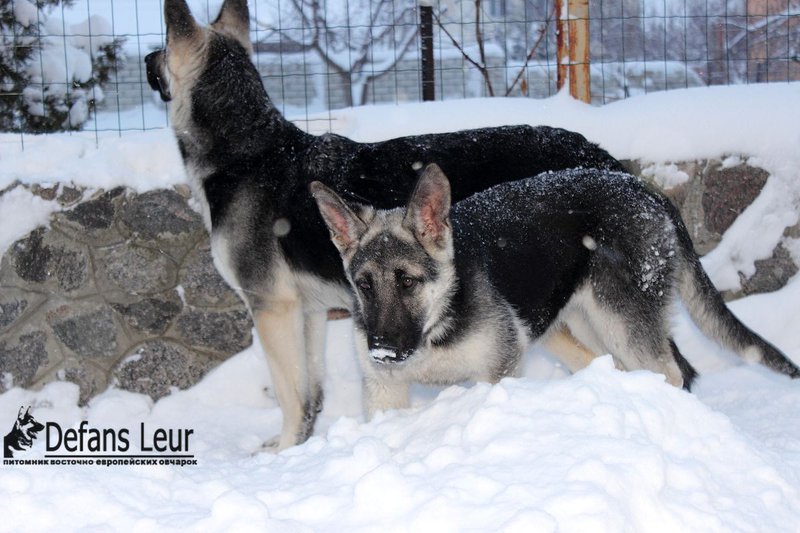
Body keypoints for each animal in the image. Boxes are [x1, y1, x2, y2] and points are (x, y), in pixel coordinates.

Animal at [145, 0, 624, 448]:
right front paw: (303, 442)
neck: (250, 152)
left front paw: (284, 449)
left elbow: (289, 393)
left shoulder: (272, 308)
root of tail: (599, 156)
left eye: (163, 47)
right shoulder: (309, 312)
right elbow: (311, 391)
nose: (147, 58)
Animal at [310, 164, 800, 414]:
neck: (438, 321)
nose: (382, 350)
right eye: (363, 285)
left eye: (408, 281)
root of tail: (643, 186)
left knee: (672, 373)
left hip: (623, 324)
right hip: (578, 329)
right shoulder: (384, 393)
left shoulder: (498, 374)